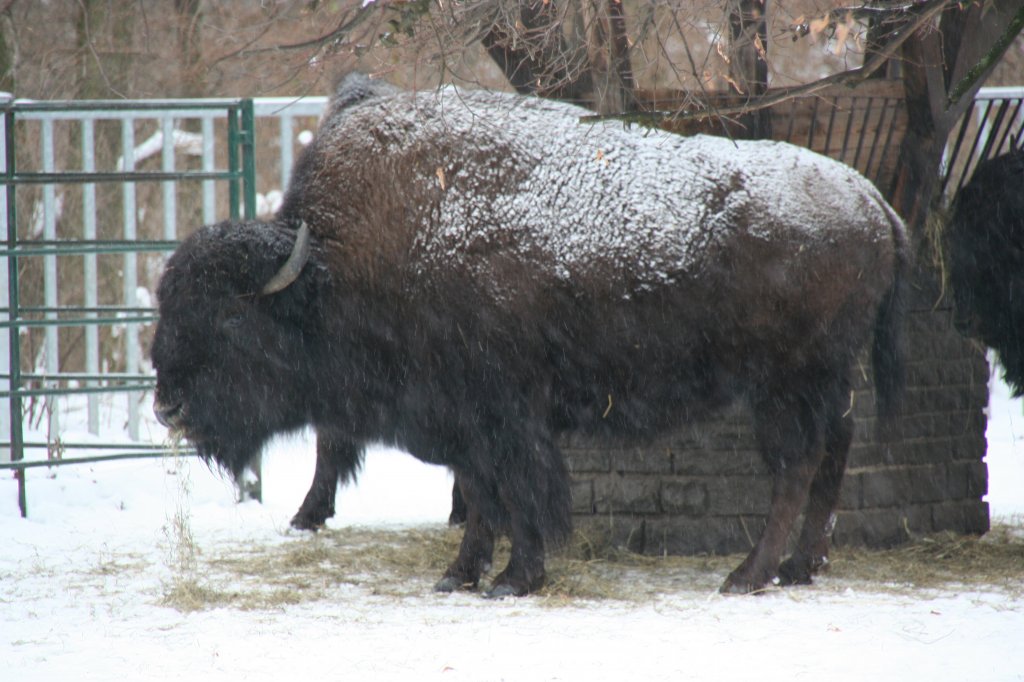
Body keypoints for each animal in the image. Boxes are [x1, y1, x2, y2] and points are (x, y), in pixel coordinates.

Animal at [149, 74, 905, 593]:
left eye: (229, 317)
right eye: (167, 306)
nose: (166, 405)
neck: (331, 265)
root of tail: (869, 196)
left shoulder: (503, 416)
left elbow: (517, 492)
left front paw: (515, 578)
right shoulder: (462, 420)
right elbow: (484, 496)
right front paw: (460, 576)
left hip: (788, 384)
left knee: (796, 465)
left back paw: (747, 575)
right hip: (825, 380)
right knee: (832, 456)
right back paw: (801, 567)